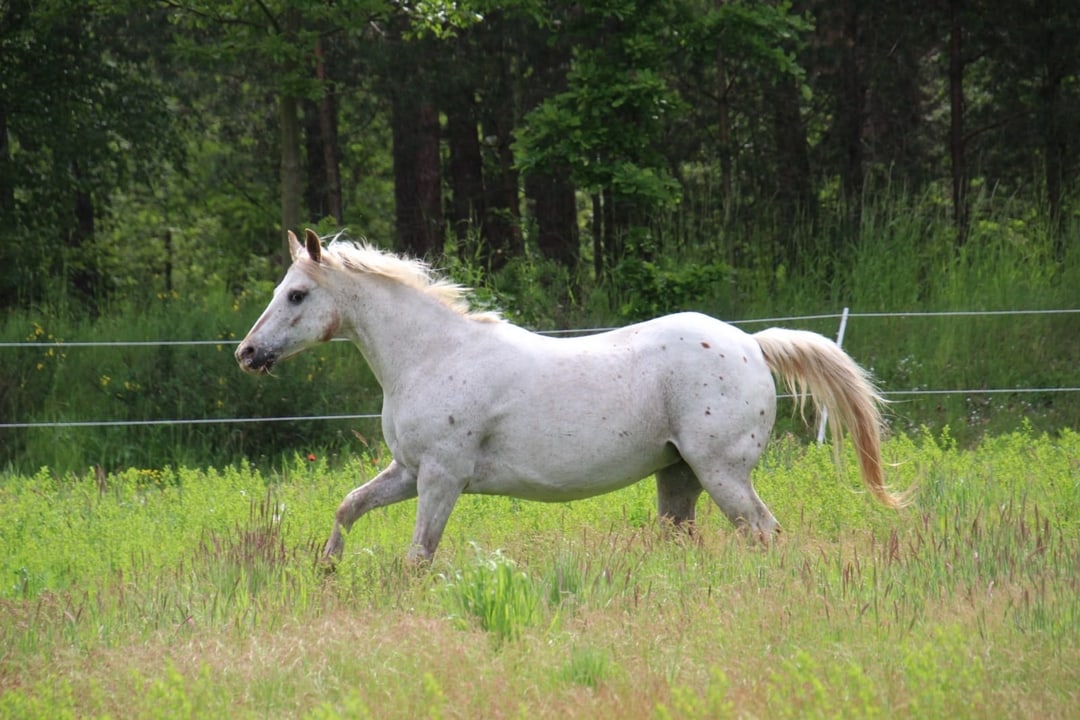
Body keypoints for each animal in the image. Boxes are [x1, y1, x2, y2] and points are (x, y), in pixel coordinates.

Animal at [234, 231, 902, 561]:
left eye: (296, 294)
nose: (246, 353)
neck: (433, 355)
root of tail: (753, 346)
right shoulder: (407, 471)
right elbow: (348, 507)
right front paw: (326, 568)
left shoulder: (442, 478)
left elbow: (419, 554)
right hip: (679, 476)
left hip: (722, 473)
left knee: (763, 532)